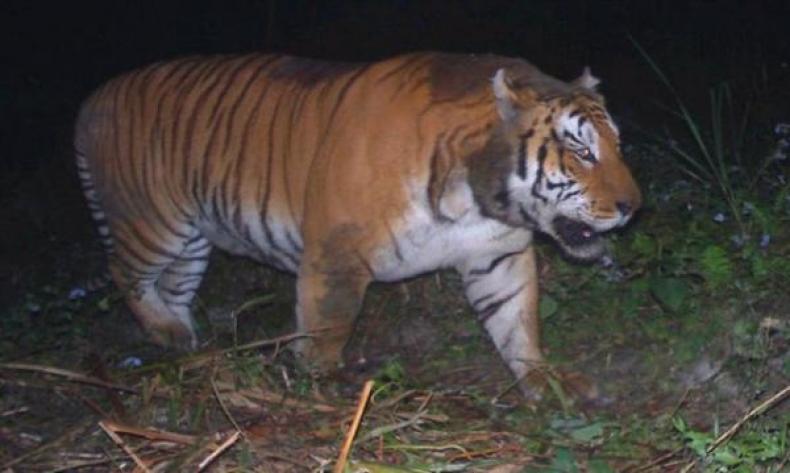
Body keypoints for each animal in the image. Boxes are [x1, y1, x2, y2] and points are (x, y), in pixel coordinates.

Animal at [74, 52, 641, 397]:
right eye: (581, 151)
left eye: (616, 145)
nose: (633, 206)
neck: (473, 200)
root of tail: (94, 97)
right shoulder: (336, 255)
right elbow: (329, 326)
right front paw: (318, 387)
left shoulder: (495, 255)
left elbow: (518, 322)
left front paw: (545, 380)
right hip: (151, 224)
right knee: (126, 274)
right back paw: (168, 332)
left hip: (191, 243)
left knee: (172, 286)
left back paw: (187, 343)